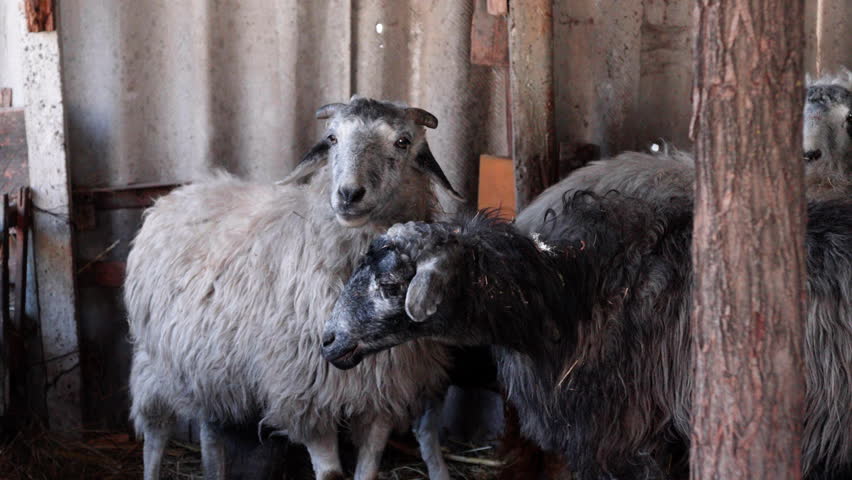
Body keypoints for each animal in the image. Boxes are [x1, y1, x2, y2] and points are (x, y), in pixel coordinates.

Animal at [125, 96, 463, 480]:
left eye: (403, 142)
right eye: (332, 138)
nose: (348, 194)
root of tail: (182, 191)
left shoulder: (384, 392)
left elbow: (369, 465)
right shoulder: (305, 392)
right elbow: (330, 473)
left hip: (208, 363)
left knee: (210, 430)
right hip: (155, 361)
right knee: (156, 431)